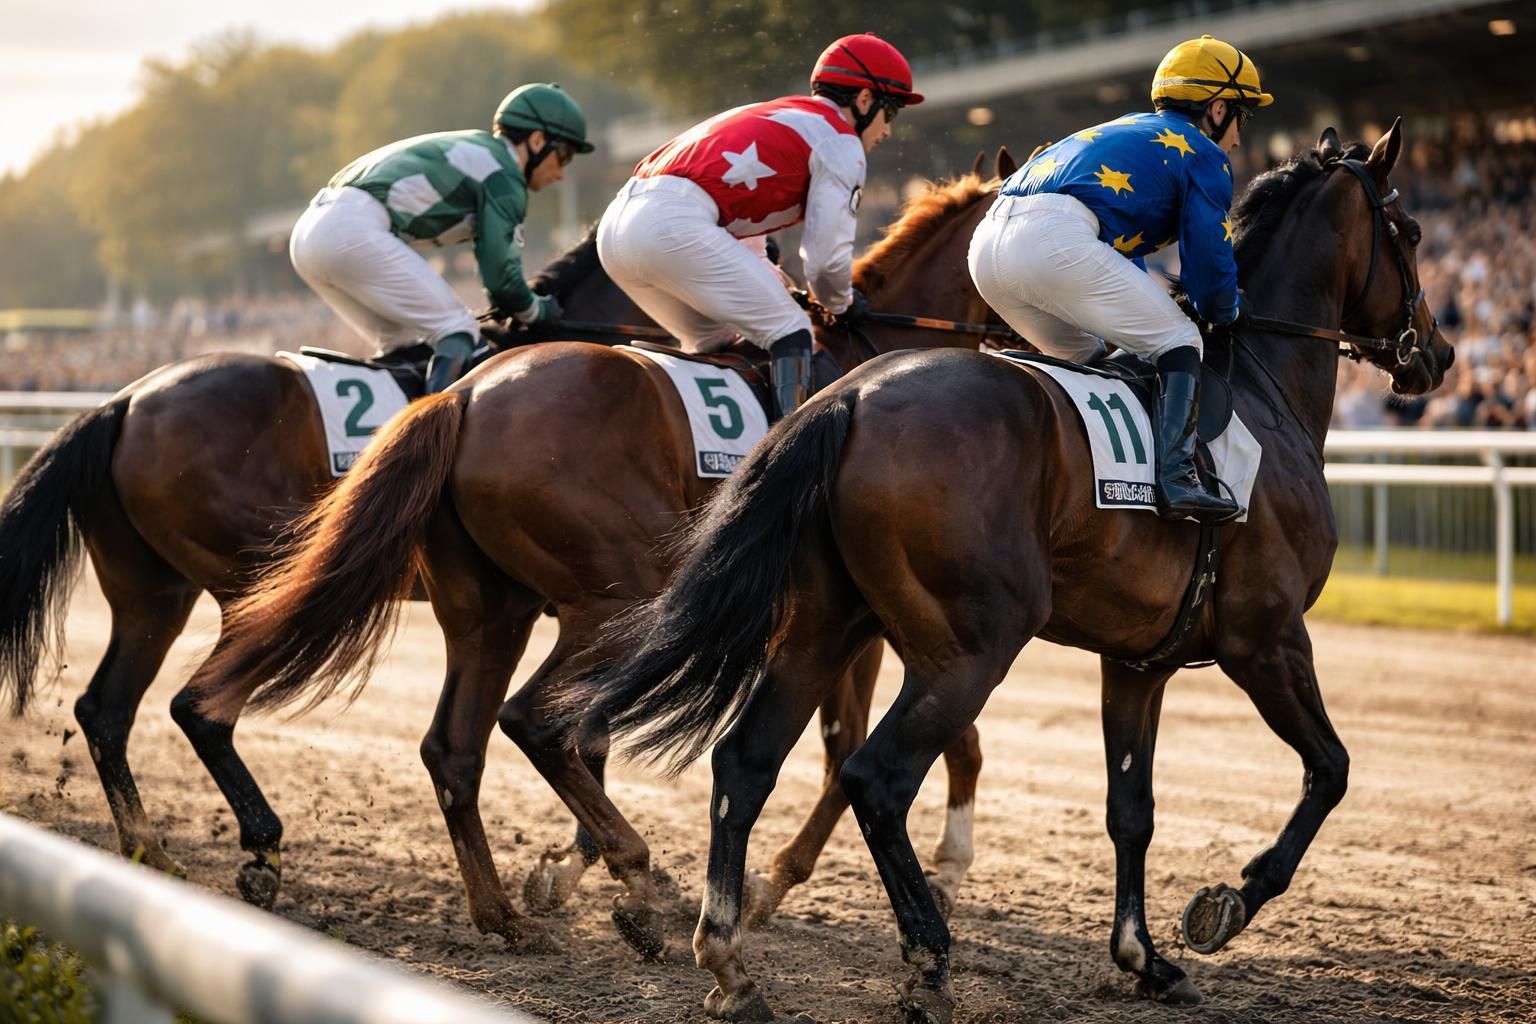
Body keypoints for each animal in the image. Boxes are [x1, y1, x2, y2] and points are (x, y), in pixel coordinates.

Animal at [0, 232, 644, 902]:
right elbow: (584, 726)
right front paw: (583, 865)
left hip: (153, 595)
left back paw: (152, 852)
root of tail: (124, 400)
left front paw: (578, 864)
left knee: (106, 710)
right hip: (255, 587)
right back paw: (260, 844)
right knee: (197, 708)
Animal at [191, 149, 1021, 956]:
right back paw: (634, 881)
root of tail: (462, 398)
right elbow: (854, 745)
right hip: (619, 594)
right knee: (531, 719)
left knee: (452, 744)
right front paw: (777, 882)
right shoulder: (857, 617)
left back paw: (504, 915)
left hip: (490, 608)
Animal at [566, 121, 1454, 1021]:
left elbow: (1131, 811)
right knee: (876, 776)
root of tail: (845, 400)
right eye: (1411, 233)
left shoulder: (1138, 660)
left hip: (822, 624)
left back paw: (726, 957)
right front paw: (1224, 905)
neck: (1261, 393)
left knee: (746, 760)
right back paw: (925, 960)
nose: (1439, 353)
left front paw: (1143, 959)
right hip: (972, 645)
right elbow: (1330, 769)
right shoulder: (1266, 636)